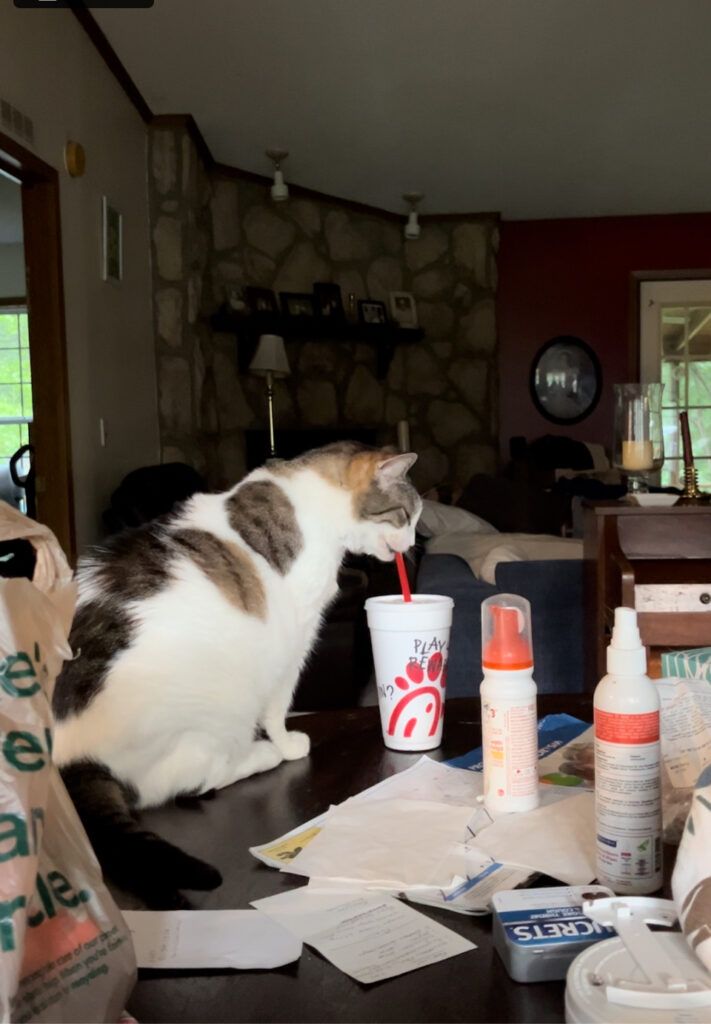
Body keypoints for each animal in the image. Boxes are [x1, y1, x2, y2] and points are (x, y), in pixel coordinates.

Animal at [55, 444, 424, 909]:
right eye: (406, 516)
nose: (411, 546)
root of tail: (71, 757)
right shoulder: (296, 640)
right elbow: (279, 706)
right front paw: (285, 743)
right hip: (218, 709)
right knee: (192, 784)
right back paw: (260, 755)